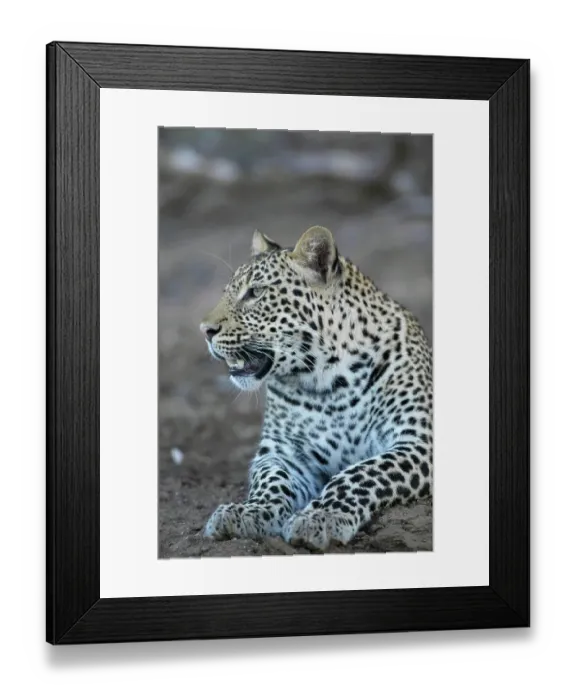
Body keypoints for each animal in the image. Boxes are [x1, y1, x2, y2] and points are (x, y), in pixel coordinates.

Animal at [200, 225, 433, 551]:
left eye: (255, 293)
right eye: (227, 293)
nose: (205, 331)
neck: (329, 381)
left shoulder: (417, 442)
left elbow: (359, 473)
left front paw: (322, 516)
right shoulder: (283, 452)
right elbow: (271, 480)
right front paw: (250, 511)